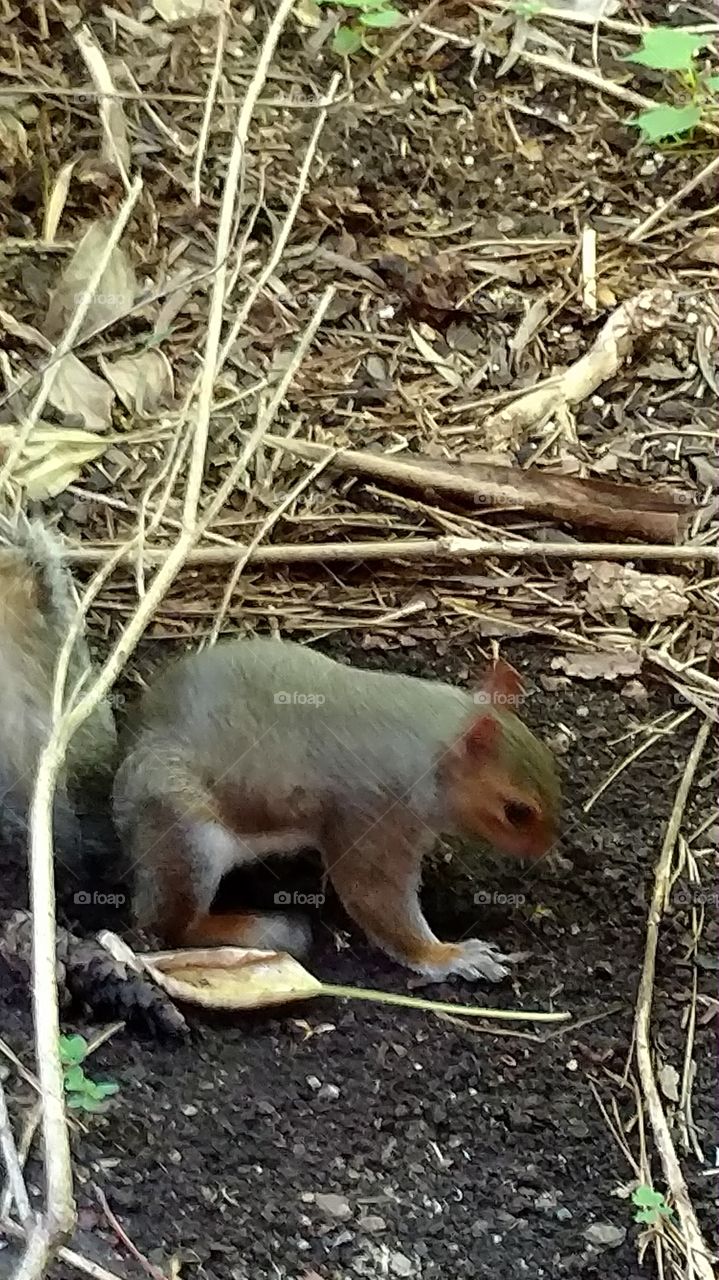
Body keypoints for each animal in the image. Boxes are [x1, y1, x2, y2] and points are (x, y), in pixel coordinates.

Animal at [114, 639, 561, 983]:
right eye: (517, 812)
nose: (544, 850)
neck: (426, 748)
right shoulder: (372, 812)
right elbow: (374, 894)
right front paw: (449, 956)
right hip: (187, 835)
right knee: (168, 925)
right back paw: (260, 929)